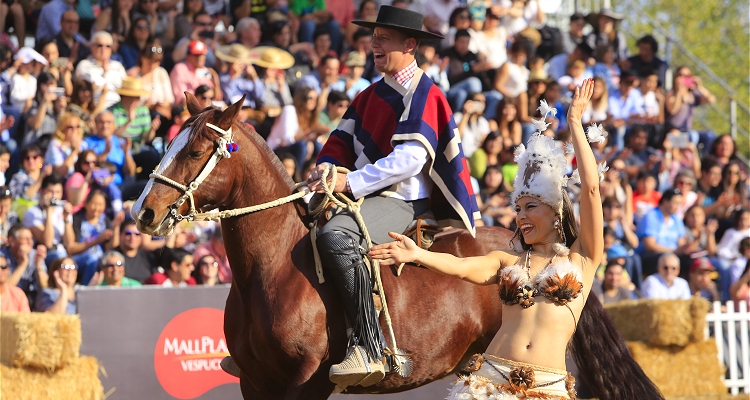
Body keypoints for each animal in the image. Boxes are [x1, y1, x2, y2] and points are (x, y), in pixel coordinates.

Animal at [135, 94, 664, 400]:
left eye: (196, 150)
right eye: (166, 143)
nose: (143, 212)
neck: (274, 271)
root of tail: (558, 255)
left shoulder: (304, 384)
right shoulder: (255, 382)